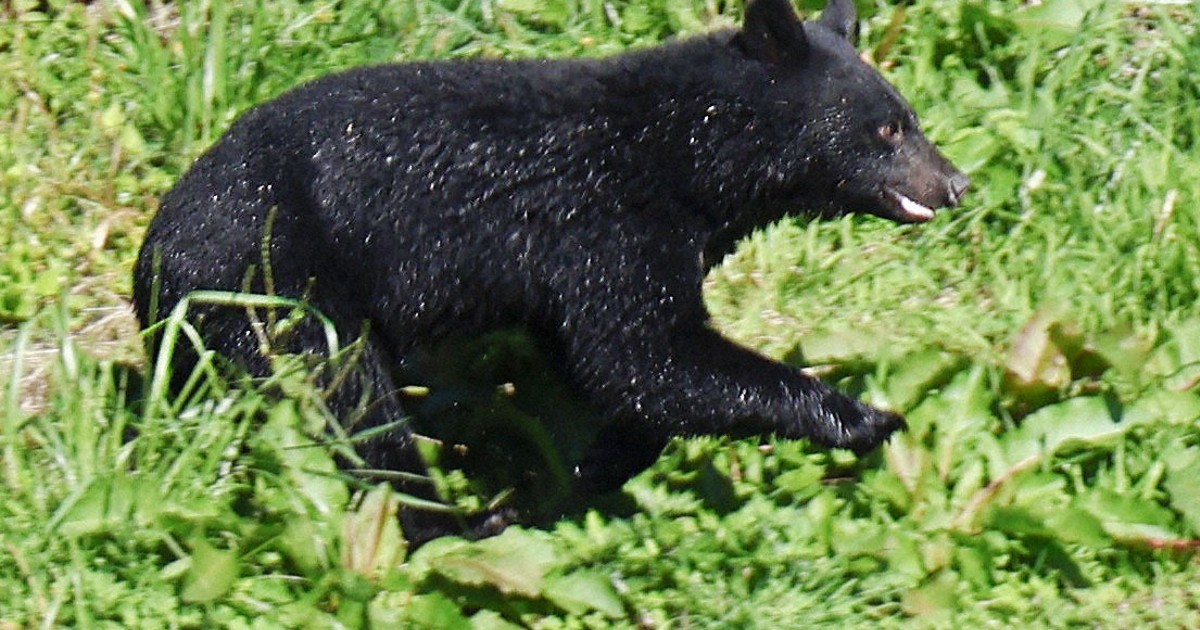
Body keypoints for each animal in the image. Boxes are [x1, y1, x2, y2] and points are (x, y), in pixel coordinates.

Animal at [133, 0, 968, 543]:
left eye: (909, 117)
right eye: (887, 128)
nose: (955, 183)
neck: (683, 153)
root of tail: (152, 265)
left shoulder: (563, 273)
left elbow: (605, 368)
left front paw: (588, 469)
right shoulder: (605, 222)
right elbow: (642, 354)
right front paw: (866, 417)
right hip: (274, 284)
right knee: (351, 401)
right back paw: (458, 523)